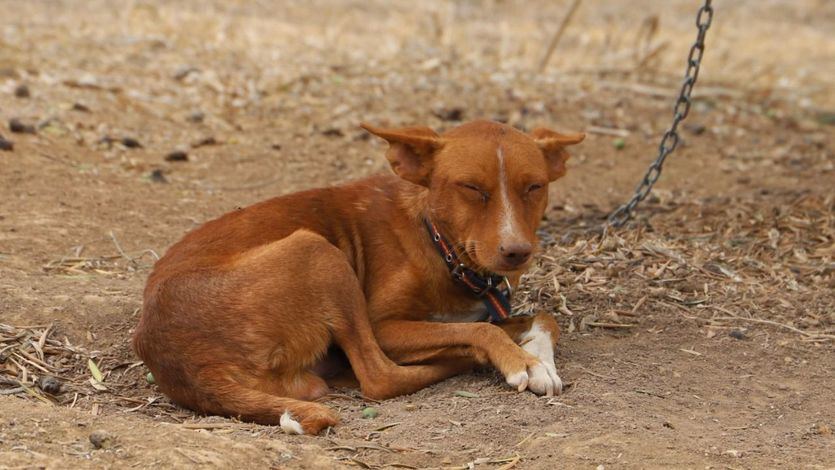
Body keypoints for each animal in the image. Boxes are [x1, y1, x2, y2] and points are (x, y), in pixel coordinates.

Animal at [132, 119, 588, 436]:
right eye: (472, 188)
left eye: (534, 187)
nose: (517, 252)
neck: (437, 242)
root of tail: (181, 365)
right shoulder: (384, 326)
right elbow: (482, 330)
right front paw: (519, 359)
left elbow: (544, 317)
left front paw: (539, 359)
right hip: (318, 251)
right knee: (380, 376)